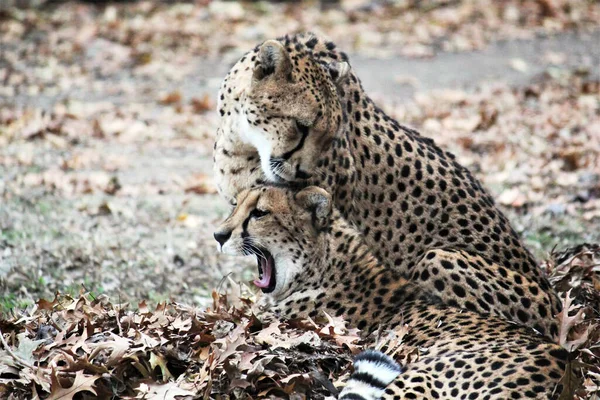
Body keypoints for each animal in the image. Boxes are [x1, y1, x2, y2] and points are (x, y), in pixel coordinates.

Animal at [212, 33, 564, 338]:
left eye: (330, 135)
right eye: (301, 126)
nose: (303, 173)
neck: (241, 140)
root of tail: (557, 308)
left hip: (437, 258)